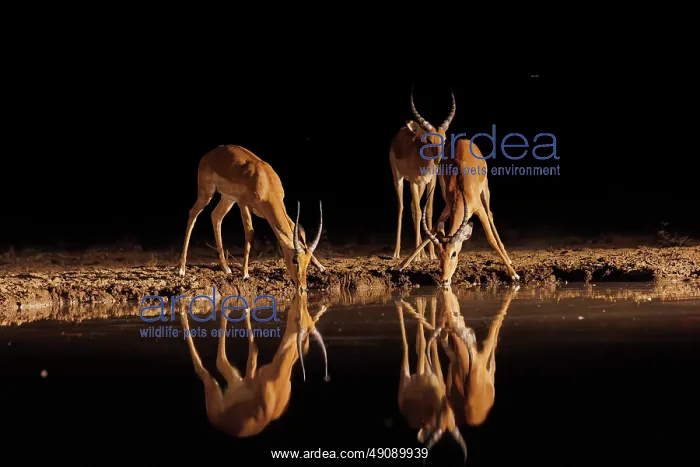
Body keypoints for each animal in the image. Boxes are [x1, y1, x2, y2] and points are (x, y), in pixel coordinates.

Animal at [178, 144, 326, 291]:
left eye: (307, 261)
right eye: (294, 260)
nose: (302, 286)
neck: (265, 182)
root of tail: (210, 154)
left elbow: (294, 226)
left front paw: (321, 267)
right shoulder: (243, 204)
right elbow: (249, 232)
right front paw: (245, 273)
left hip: (228, 199)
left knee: (216, 216)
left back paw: (225, 268)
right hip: (207, 193)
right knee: (193, 213)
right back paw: (181, 269)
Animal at [180, 290, 330, 438]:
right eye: (300, 317)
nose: (300, 297)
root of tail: (218, 424)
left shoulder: (245, 380)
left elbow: (253, 350)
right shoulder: (248, 379)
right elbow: (254, 349)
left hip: (229, 383)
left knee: (216, 364)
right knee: (210, 367)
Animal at [389, 86, 456, 262]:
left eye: (444, 139)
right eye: (429, 140)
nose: (439, 159)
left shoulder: (430, 182)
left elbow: (429, 211)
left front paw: (431, 254)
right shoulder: (413, 181)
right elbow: (420, 212)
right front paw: (418, 256)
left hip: (420, 185)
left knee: (413, 207)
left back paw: (421, 253)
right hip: (398, 178)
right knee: (401, 207)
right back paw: (397, 253)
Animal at [396, 134, 520, 284]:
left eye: (454, 253)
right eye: (439, 254)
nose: (444, 280)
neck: (460, 190)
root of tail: (463, 140)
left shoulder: (479, 209)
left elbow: (490, 238)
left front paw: (513, 274)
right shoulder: (448, 207)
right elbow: (433, 229)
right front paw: (401, 265)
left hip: (485, 191)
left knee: (490, 214)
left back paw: (508, 259)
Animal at [396, 296, 467, 463]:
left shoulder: (427, 375)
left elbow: (423, 345)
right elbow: (421, 344)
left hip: (421, 375)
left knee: (417, 346)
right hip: (416, 377)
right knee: (415, 346)